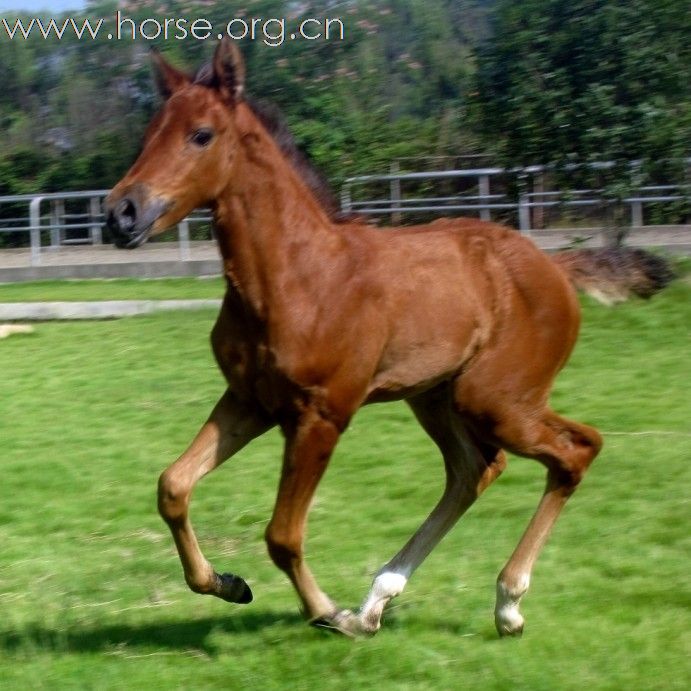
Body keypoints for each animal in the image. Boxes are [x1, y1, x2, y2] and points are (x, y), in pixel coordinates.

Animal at [105, 42, 604, 636]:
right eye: (149, 133)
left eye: (201, 134)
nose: (120, 213)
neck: (298, 277)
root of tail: (556, 267)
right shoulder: (250, 401)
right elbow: (173, 487)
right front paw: (228, 584)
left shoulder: (323, 414)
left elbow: (282, 535)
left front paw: (328, 612)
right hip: (437, 398)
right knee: (474, 471)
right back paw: (378, 602)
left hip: (496, 400)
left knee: (576, 450)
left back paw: (506, 604)